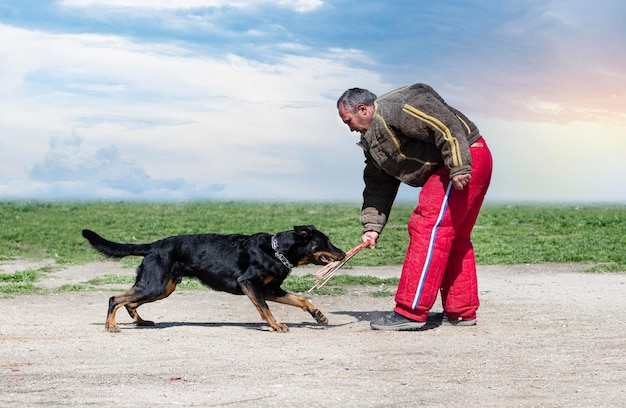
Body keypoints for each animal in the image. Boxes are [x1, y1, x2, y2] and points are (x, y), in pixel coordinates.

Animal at [80, 225, 344, 334]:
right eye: (325, 241)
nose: (342, 253)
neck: (275, 250)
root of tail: (154, 246)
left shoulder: (271, 290)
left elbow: (302, 300)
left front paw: (318, 316)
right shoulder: (249, 284)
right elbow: (265, 310)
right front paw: (276, 325)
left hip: (162, 288)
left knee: (130, 302)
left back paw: (141, 322)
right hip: (154, 285)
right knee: (115, 298)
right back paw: (110, 326)